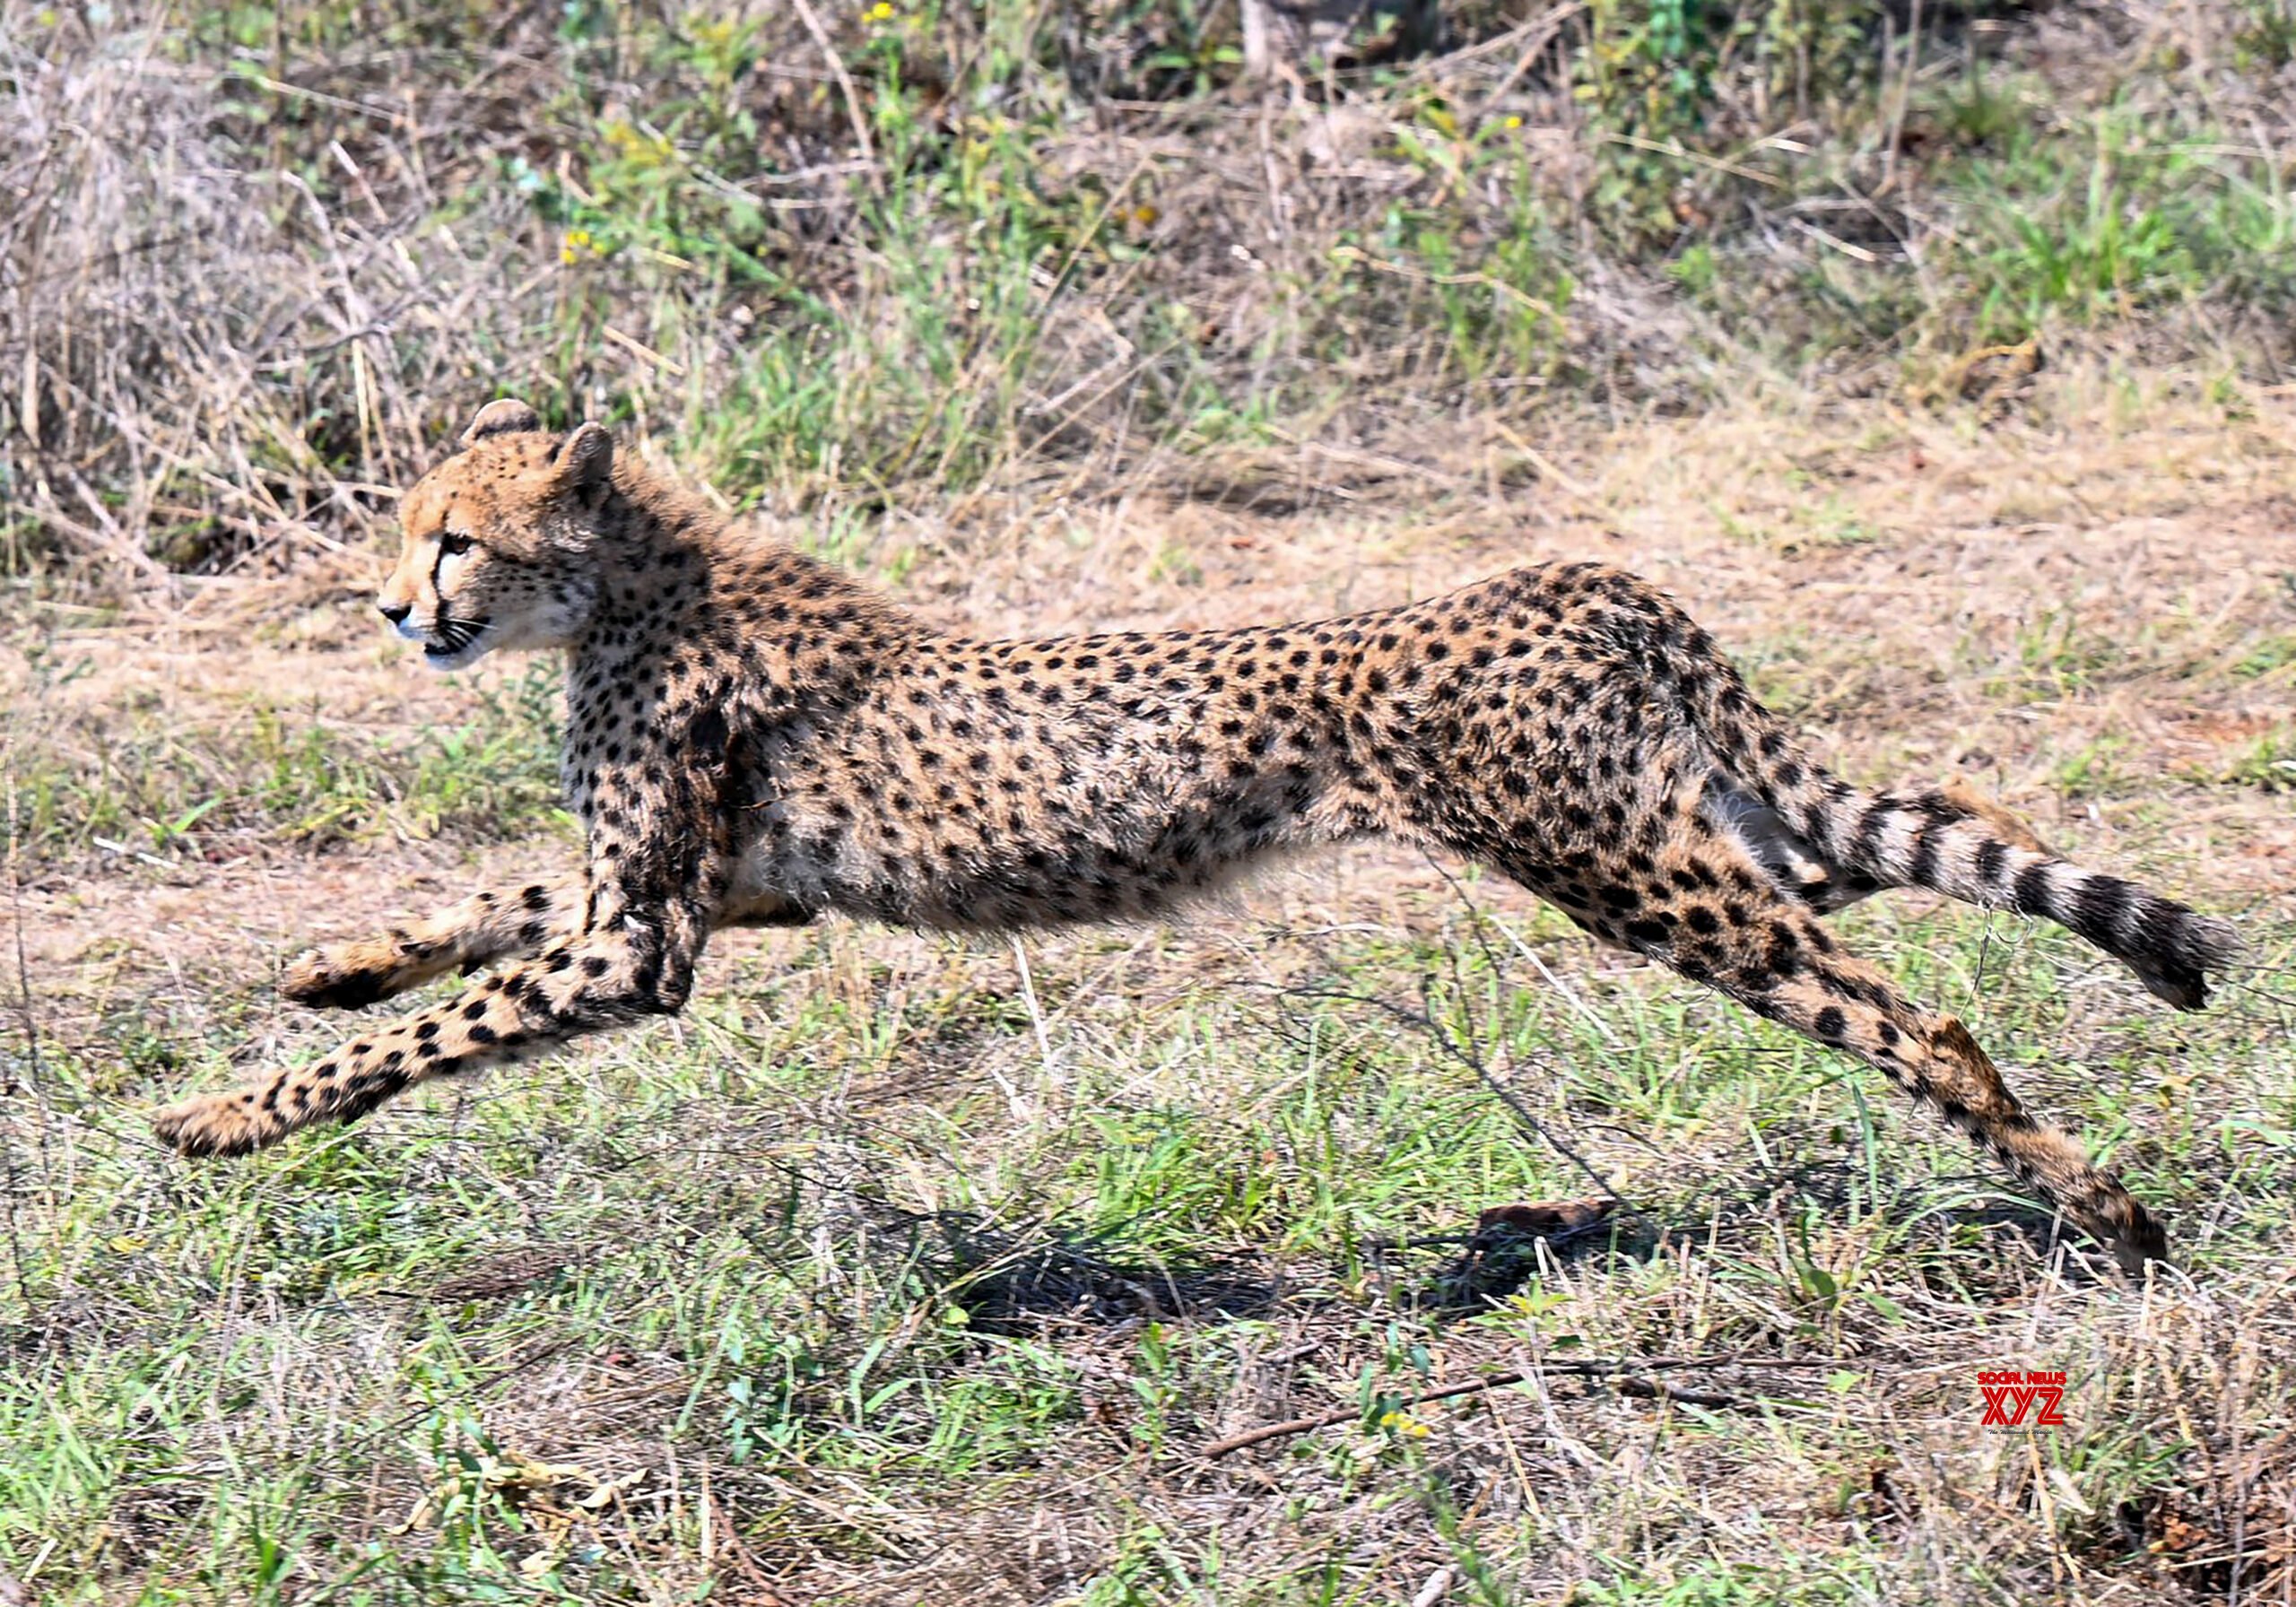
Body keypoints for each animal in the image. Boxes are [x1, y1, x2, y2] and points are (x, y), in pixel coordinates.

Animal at [153, 398, 2241, 1275]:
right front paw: (326, 959)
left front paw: (229, 1113)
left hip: (1627, 870)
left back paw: (2105, 1208)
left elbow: (434, 1028)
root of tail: (1564, 574)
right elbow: (476, 907)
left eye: (453, 537)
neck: (627, 587)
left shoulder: (646, 939)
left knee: (1918, 1017)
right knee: (1925, 833)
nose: (390, 610)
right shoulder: (724, 894)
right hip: (1711, 824)